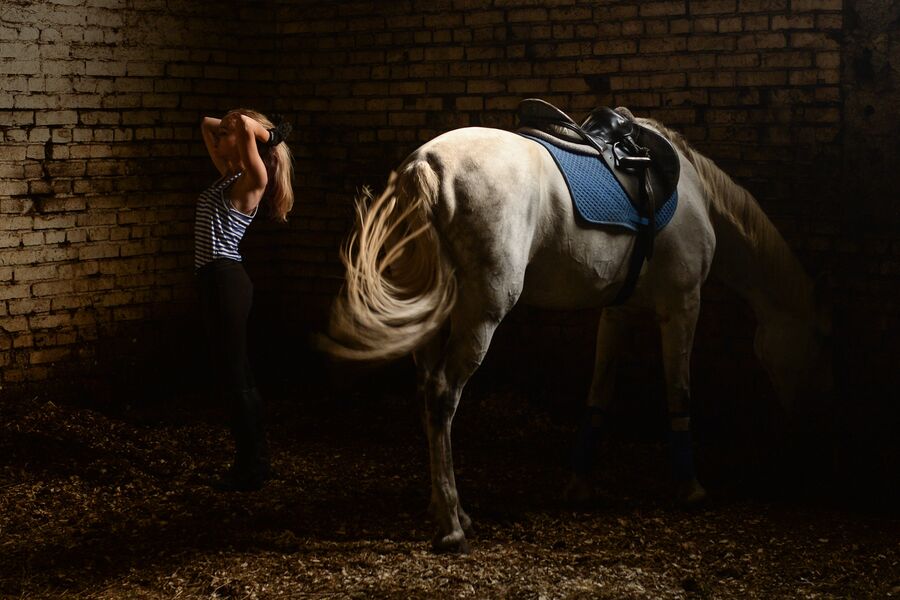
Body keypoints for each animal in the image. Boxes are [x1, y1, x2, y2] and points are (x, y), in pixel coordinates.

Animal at [322, 112, 828, 552]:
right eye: (811, 346)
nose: (804, 418)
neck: (696, 194)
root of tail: (424, 166)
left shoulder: (618, 311)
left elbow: (599, 393)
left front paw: (579, 484)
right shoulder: (683, 305)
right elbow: (679, 393)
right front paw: (690, 488)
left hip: (431, 310)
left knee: (427, 392)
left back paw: (444, 508)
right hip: (483, 310)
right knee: (444, 394)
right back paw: (452, 525)